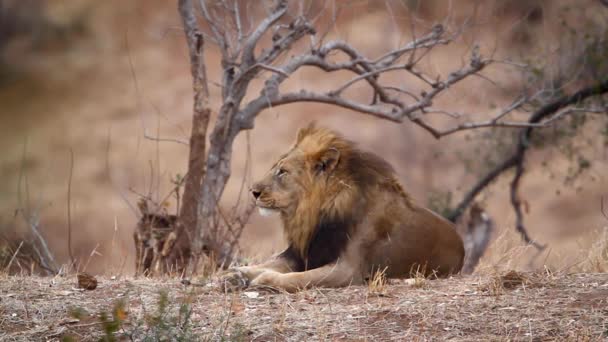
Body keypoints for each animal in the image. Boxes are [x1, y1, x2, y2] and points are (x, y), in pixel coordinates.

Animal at [226, 123, 468, 292]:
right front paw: (235, 275)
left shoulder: (347, 270)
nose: (253, 191)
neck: (314, 213)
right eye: (274, 168)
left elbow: (298, 278)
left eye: (282, 172)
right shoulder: (302, 254)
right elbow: (269, 262)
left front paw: (263, 280)